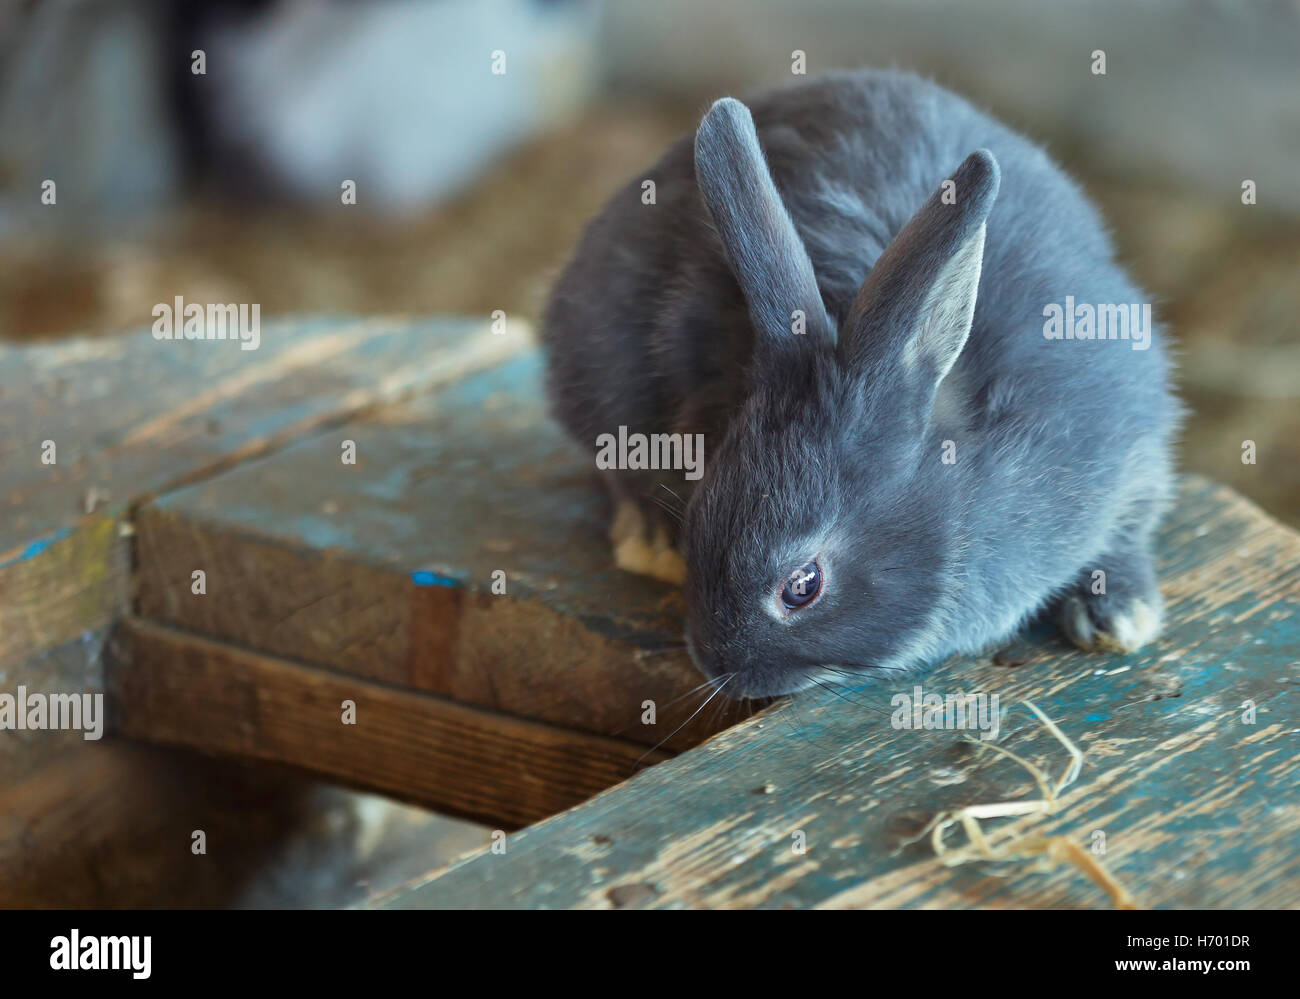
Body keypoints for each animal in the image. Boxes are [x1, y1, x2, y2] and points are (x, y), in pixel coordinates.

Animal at [538, 70, 1180, 697]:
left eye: (803, 585)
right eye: (697, 516)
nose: (716, 667)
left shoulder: (1132, 453)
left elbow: (1127, 530)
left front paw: (1120, 617)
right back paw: (649, 542)